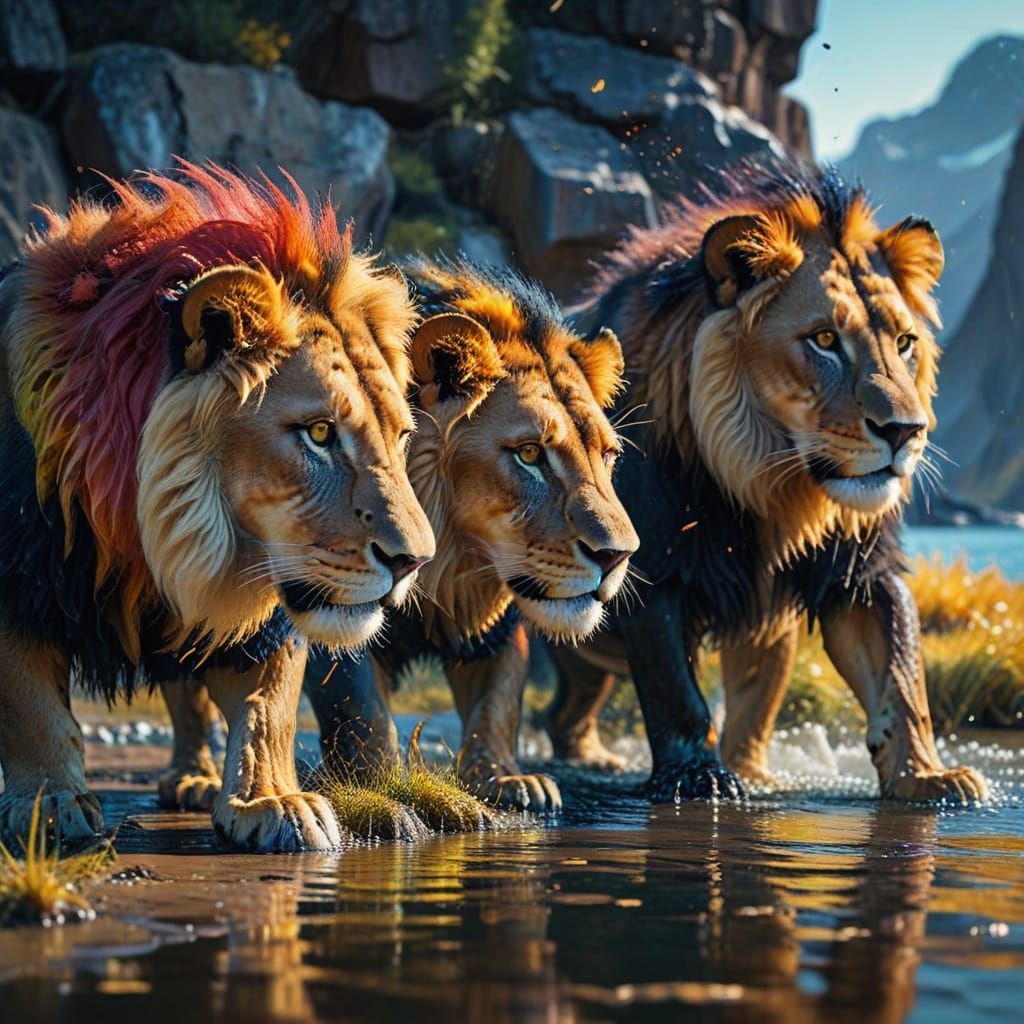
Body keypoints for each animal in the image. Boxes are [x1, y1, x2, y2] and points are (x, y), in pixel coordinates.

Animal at [0, 163, 434, 851]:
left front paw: (274, 801)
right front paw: (50, 802)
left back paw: (197, 779)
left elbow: (269, 705)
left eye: (399, 436)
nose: (414, 562)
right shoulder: (19, 574)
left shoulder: (271, 606)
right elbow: (32, 705)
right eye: (319, 433)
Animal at [162, 259, 640, 816]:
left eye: (608, 455)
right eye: (529, 454)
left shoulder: (494, 618)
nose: (617, 555)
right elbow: (362, 710)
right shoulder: (330, 594)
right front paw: (380, 791)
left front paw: (505, 778)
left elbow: (500, 695)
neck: (457, 561)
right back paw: (193, 778)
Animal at [543, 161, 988, 805]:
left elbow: (901, 673)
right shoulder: (654, 571)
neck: (771, 483)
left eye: (904, 343)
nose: (906, 431)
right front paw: (697, 779)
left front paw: (929, 776)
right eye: (825, 340)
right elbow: (676, 693)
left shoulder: (859, 570)